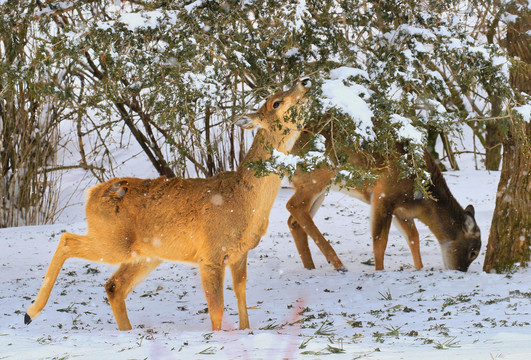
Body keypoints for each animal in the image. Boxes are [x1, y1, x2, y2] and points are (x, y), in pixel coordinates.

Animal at [25, 77, 314, 330]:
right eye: (276, 102)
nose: (304, 81)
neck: (244, 200)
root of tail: (91, 194)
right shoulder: (210, 254)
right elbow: (217, 309)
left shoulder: (240, 252)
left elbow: (242, 298)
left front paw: (245, 332)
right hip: (114, 241)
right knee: (67, 240)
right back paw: (30, 313)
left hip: (146, 254)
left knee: (114, 285)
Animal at [286, 122, 482, 272]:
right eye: (473, 251)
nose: (460, 270)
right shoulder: (383, 195)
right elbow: (380, 240)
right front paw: (379, 271)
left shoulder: (401, 211)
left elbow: (414, 237)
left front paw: (419, 268)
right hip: (318, 172)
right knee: (293, 205)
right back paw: (338, 264)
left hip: (318, 188)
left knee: (294, 221)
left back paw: (311, 267)